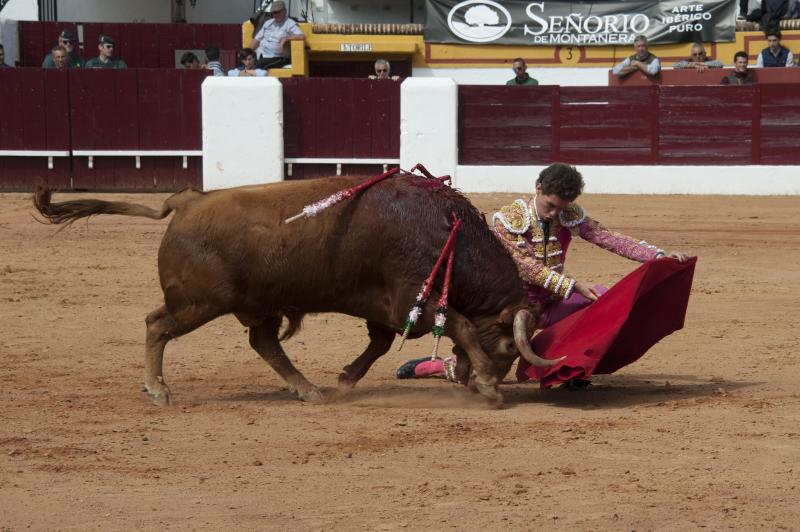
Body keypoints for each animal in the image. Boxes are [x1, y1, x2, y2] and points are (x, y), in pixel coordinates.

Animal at [34, 176, 560, 408]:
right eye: (509, 347)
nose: (471, 380)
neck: (447, 231)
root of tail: (187, 201)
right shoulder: (412, 299)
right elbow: (462, 325)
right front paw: (489, 386)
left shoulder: (386, 308)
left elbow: (381, 343)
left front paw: (346, 378)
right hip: (199, 303)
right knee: (156, 325)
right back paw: (158, 389)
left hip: (256, 306)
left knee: (264, 343)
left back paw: (308, 389)